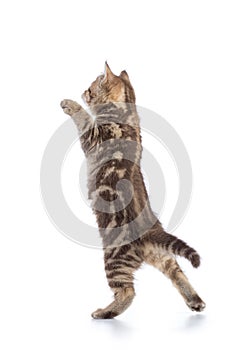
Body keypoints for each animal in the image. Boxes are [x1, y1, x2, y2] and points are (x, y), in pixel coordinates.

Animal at [60, 61, 206, 318]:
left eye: (90, 88)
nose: (82, 92)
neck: (125, 112)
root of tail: (150, 232)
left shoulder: (93, 136)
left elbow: (83, 117)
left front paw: (70, 104)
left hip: (114, 259)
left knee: (128, 293)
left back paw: (105, 312)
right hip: (163, 257)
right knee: (177, 273)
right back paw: (195, 300)